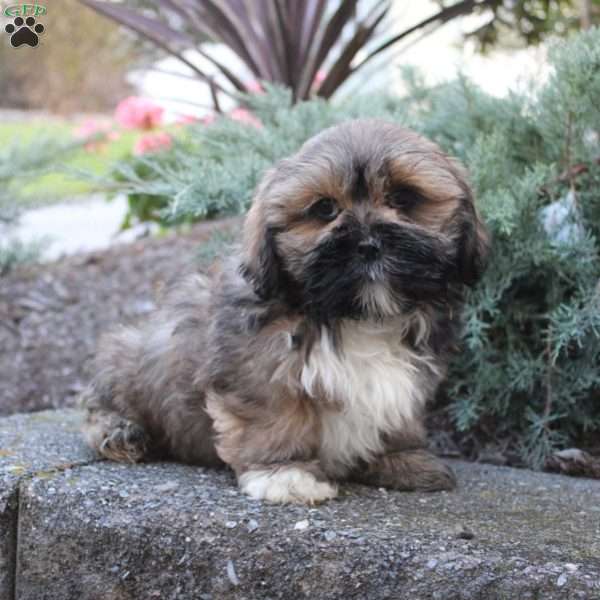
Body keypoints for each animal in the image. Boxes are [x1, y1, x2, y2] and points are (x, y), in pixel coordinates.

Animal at [82, 119, 488, 504]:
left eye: (404, 198)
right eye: (324, 209)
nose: (369, 244)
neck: (354, 317)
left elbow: (396, 412)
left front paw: (400, 458)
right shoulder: (257, 368)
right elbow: (277, 417)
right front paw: (285, 474)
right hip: (130, 356)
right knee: (98, 400)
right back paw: (120, 431)